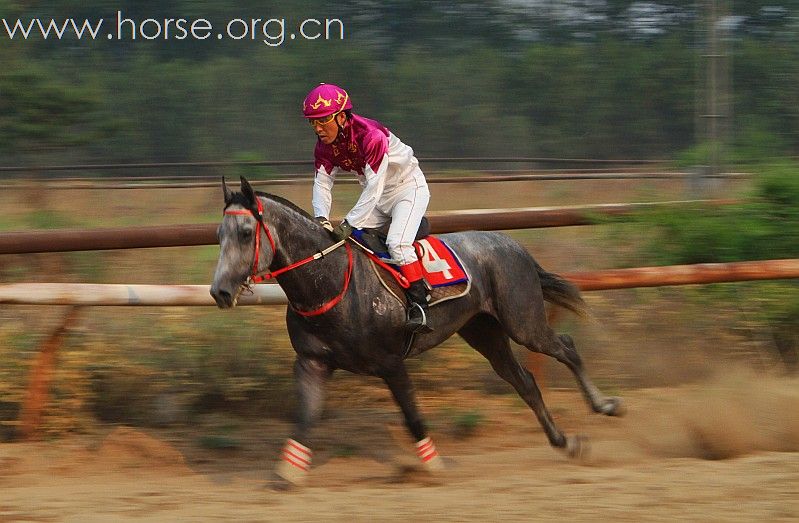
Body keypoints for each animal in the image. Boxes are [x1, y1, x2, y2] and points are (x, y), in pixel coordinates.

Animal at [209, 177, 620, 488]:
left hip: (523, 321)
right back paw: (563, 441)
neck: (330, 282)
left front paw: (435, 466)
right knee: (525, 382)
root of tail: (512, 243)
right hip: (484, 332)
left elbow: (412, 417)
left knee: (566, 348)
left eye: (245, 232)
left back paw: (605, 405)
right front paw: (286, 473)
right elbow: (305, 419)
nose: (220, 292)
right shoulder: (312, 363)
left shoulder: (391, 363)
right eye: (219, 234)